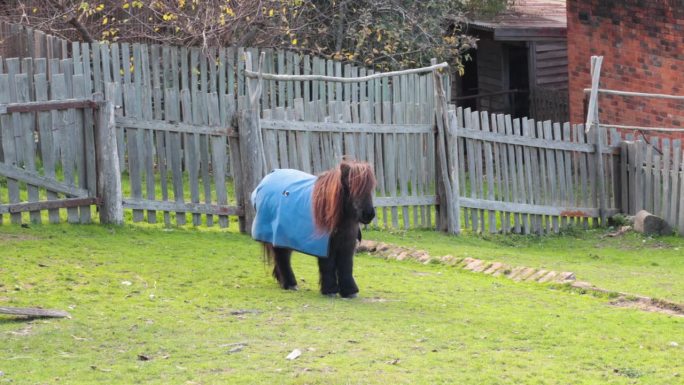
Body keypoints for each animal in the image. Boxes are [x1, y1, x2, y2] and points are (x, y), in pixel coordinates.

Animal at [251, 159, 376, 296]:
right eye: (351, 186)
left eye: (370, 187)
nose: (368, 214)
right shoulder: (325, 245)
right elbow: (328, 265)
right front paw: (330, 290)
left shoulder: (346, 246)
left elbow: (346, 265)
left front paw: (350, 291)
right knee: (282, 258)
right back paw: (290, 284)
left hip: (284, 238)